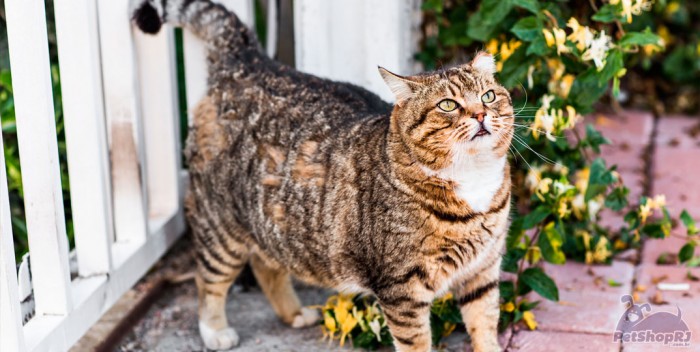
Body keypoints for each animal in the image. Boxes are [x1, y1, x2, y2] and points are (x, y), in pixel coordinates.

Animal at [133, 1, 516, 350]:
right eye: (448, 105)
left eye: (489, 96)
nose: (481, 114)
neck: (472, 181)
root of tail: (248, 63)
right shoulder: (402, 288)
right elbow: (417, 343)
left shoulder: (483, 271)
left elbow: (484, 324)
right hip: (221, 224)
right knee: (209, 278)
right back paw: (215, 331)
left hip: (273, 220)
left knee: (265, 262)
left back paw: (293, 313)